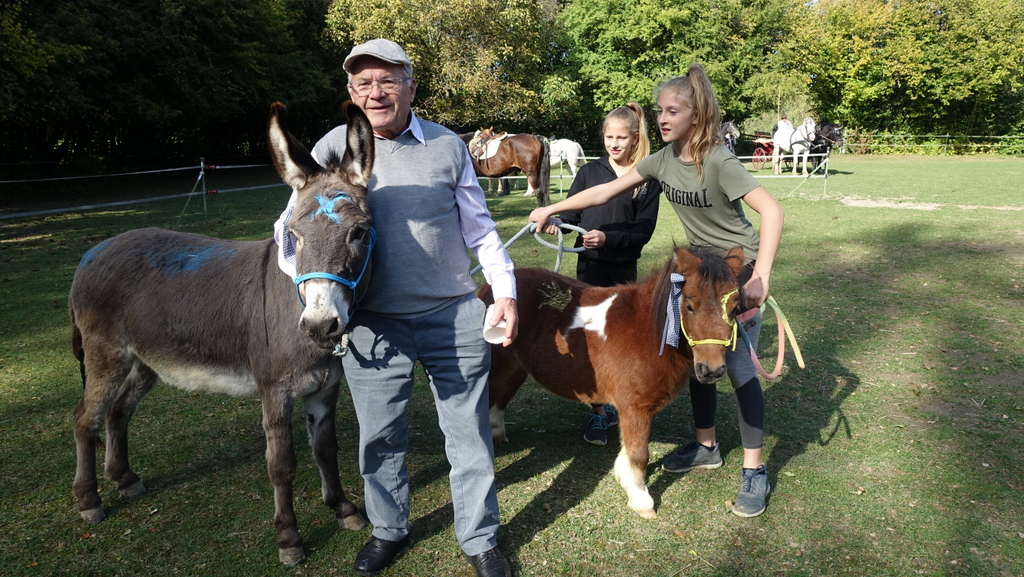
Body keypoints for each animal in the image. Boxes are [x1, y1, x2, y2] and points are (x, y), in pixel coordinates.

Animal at [68, 101, 374, 566]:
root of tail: (91, 253)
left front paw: (343, 509)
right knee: (86, 418)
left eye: (358, 232)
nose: (322, 326)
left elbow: (326, 449)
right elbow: (281, 464)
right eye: (293, 236)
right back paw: (89, 501)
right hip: (107, 355)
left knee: (119, 412)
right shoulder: (275, 391)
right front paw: (289, 539)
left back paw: (125, 479)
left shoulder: (324, 389)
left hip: (146, 360)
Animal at [478, 246, 745, 519]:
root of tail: (487, 289)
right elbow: (639, 454)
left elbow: (629, 450)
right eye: (690, 305)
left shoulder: (635, 409)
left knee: (499, 400)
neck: (647, 330)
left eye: (735, 308)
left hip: (515, 368)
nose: (711, 370)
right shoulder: (634, 407)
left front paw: (625, 478)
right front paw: (641, 501)